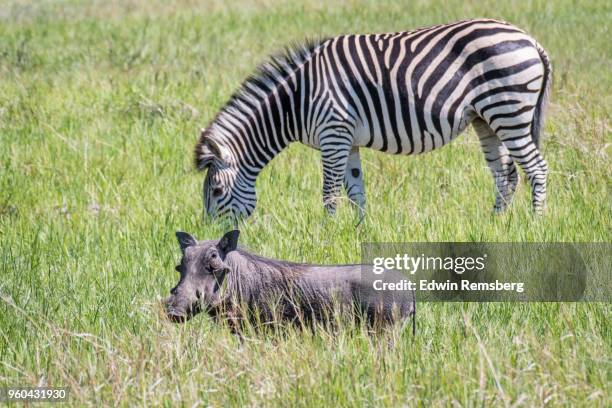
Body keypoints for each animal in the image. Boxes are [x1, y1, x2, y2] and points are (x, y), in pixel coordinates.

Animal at [194, 19, 552, 220]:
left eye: (216, 191)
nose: (216, 243)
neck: (298, 99)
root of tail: (531, 40)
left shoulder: (334, 134)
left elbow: (329, 193)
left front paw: (327, 233)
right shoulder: (346, 141)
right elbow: (356, 192)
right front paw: (357, 233)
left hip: (509, 110)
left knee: (536, 169)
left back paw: (535, 225)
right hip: (486, 119)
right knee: (506, 175)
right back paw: (495, 225)